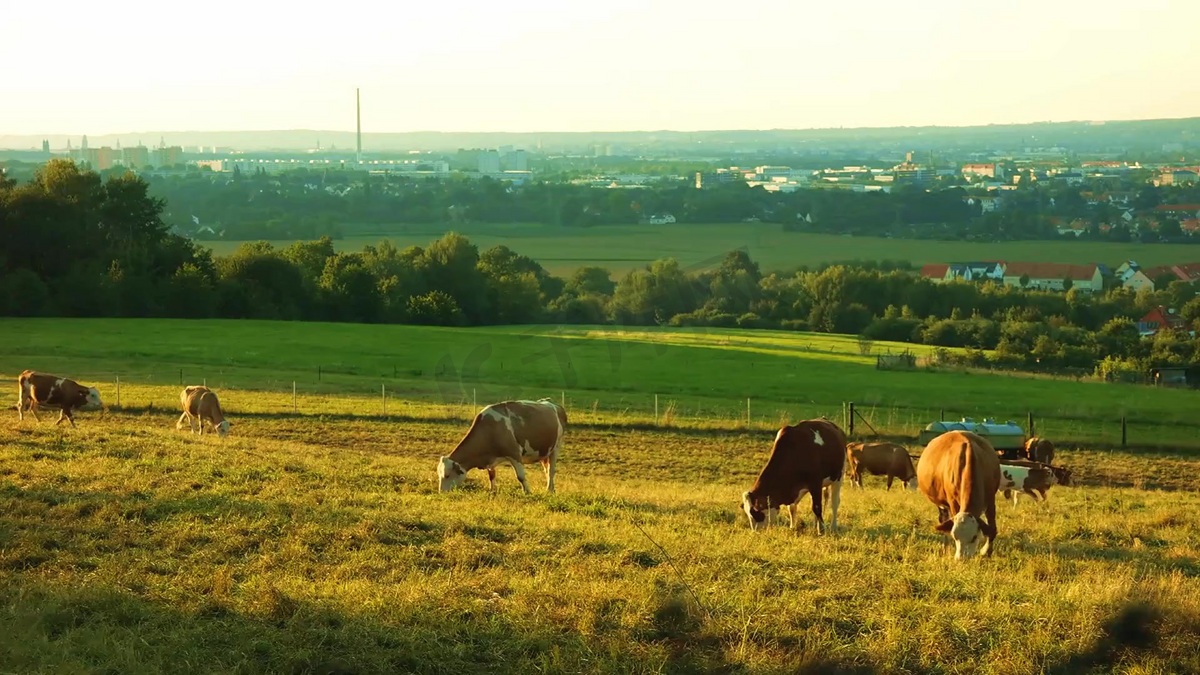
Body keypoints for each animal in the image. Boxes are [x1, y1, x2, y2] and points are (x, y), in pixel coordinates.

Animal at [436, 396, 566, 492]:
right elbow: (491, 476)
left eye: (447, 475)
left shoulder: (514, 453)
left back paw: (549, 490)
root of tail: (552, 404)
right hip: (544, 453)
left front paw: (527, 492)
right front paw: (492, 491)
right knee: (547, 470)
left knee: (551, 470)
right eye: (439, 474)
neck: (490, 428)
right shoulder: (490, 460)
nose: (441, 492)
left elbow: (521, 476)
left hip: (556, 448)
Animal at [916, 427, 1003, 559]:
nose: (961, 559)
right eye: (955, 536)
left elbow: (992, 528)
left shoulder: (990, 499)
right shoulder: (952, 502)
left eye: (974, 537)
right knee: (943, 520)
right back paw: (945, 548)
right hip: (941, 504)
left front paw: (986, 551)